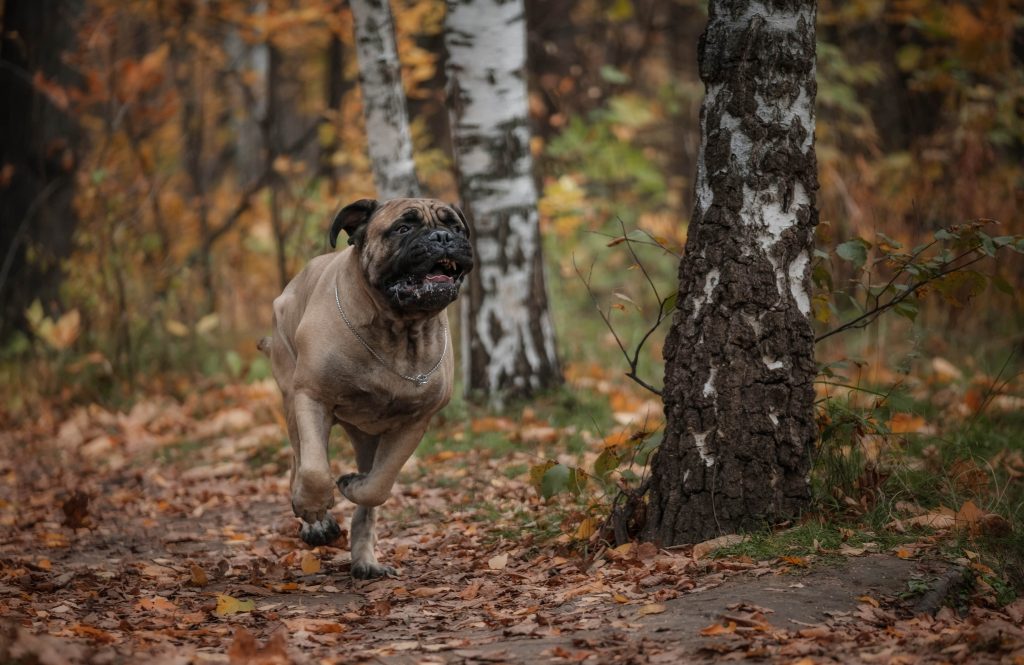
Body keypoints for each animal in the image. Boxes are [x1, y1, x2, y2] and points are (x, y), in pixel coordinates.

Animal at [260, 195, 475, 573]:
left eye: (455, 227)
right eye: (403, 228)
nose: (443, 237)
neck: (398, 330)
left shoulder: (414, 422)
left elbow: (379, 484)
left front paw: (352, 485)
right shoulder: (311, 396)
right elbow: (314, 469)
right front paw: (315, 510)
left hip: (366, 435)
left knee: (367, 496)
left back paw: (365, 560)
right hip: (290, 396)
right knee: (298, 461)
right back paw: (316, 524)